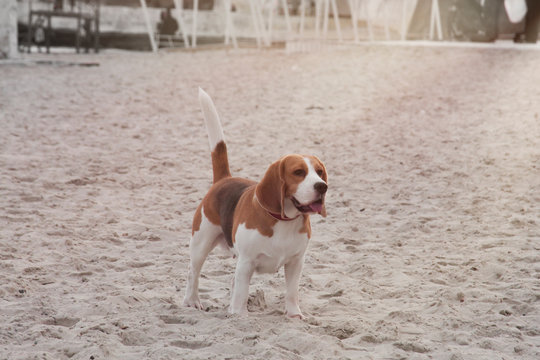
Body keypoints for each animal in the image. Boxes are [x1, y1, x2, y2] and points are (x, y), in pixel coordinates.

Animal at [185, 89, 330, 318]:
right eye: (299, 172)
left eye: (320, 172)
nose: (322, 186)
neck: (283, 221)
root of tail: (225, 178)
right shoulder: (247, 262)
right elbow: (242, 292)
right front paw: (239, 316)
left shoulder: (296, 262)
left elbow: (292, 292)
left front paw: (293, 315)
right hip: (201, 243)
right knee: (193, 273)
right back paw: (192, 301)